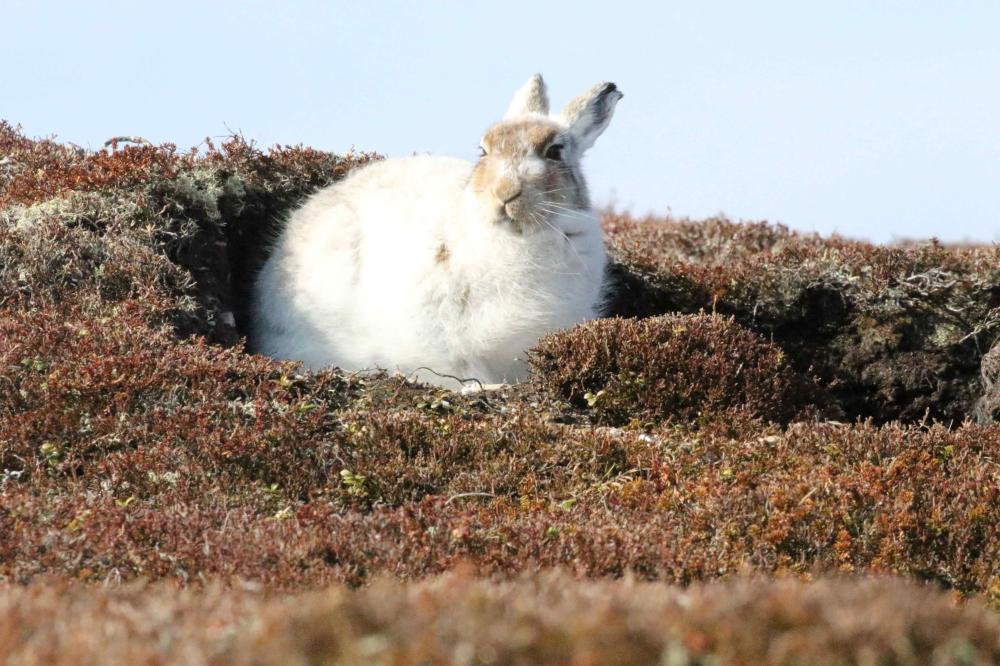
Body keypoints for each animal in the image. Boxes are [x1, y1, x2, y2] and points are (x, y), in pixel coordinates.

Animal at [250, 74, 622, 389]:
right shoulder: (436, 333)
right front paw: (484, 387)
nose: (504, 193)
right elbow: (462, 368)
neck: (516, 239)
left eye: (555, 151)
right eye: (483, 150)